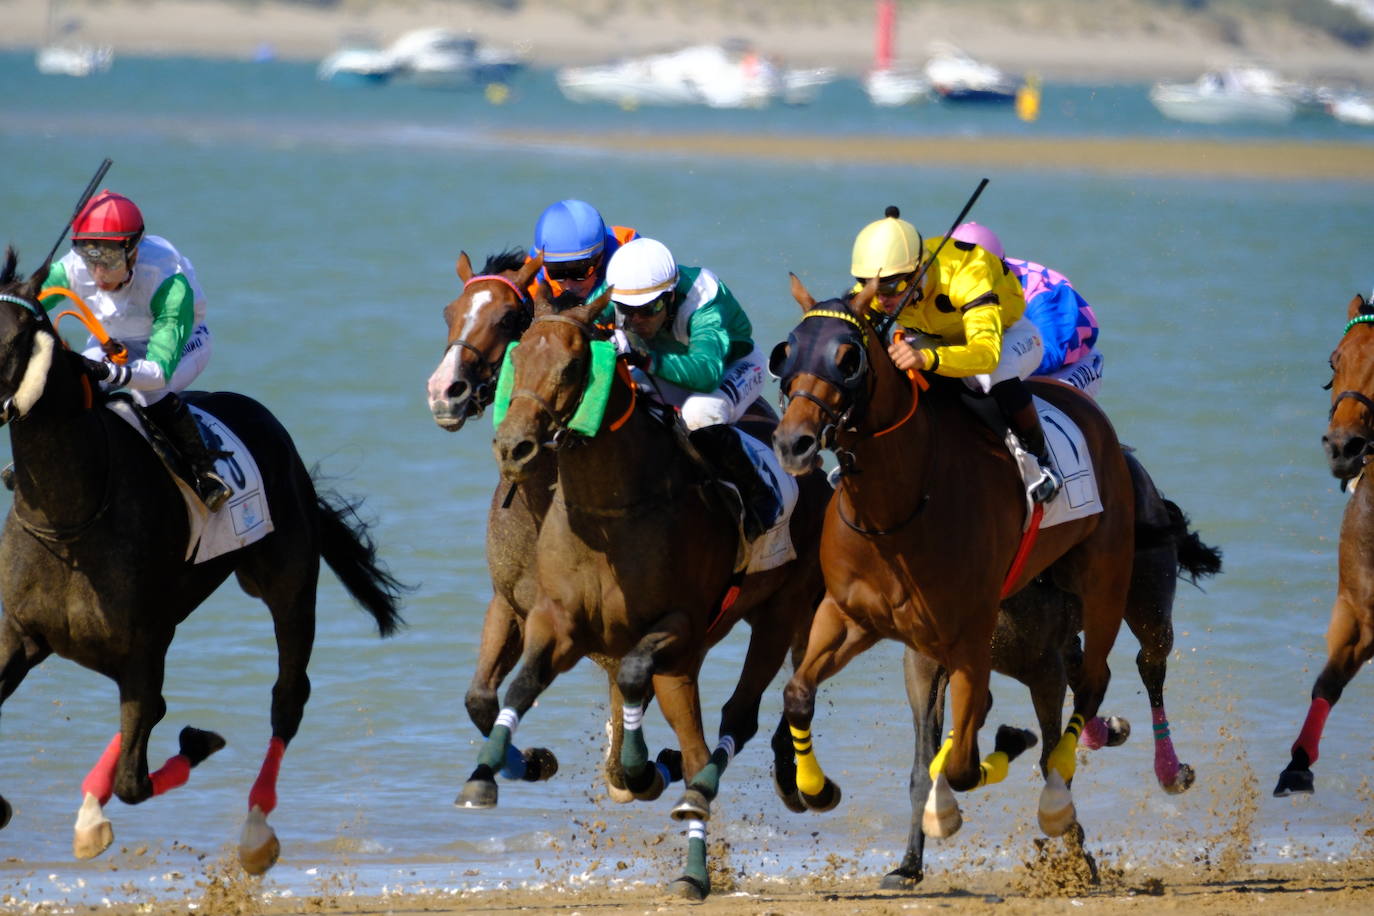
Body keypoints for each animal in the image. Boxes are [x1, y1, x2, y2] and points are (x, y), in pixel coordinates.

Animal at [0, 248, 406, 873]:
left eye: (18, 337)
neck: (71, 519)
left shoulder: (142, 646)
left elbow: (136, 781)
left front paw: (199, 743)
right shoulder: (21, 635)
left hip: (287, 587)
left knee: (287, 699)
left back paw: (256, 830)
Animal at [467, 292, 824, 895]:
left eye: (572, 367)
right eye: (517, 358)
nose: (513, 446)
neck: (611, 511)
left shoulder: (679, 622)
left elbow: (635, 676)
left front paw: (642, 766)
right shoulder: (552, 620)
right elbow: (516, 687)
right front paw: (490, 774)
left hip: (778, 613)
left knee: (734, 722)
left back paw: (698, 848)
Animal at [774, 277, 1137, 845]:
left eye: (847, 358)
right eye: (786, 352)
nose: (794, 442)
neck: (898, 509)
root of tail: (1087, 407)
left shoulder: (969, 639)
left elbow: (966, 765)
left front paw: (994, 758)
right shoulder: (850, 615)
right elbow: (797, 693)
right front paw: (819, 788)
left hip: (1106, 581)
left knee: (1094, 681)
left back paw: (1056, 796)